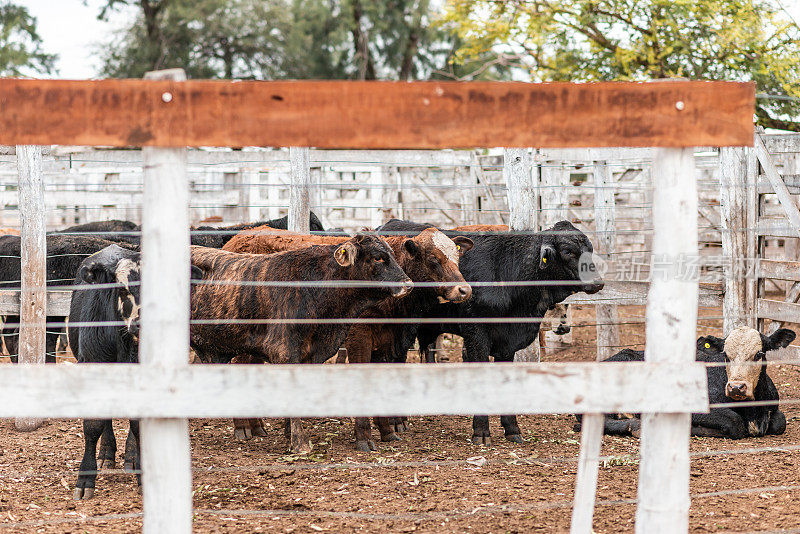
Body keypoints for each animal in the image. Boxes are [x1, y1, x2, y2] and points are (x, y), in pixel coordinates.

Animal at [188, 237, 412, 454]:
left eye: (392, 255)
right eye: (378, 258)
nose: (409, 284)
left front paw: (289, 435)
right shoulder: (284, 351)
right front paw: (300, 443)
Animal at [222, 226, 476, 452]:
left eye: (457, 257)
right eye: (433, 258)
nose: (464, 290)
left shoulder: (386, 342)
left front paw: (387, 431)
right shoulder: (359, 337)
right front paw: (364, 437)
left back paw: (256, 425)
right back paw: (243, 427)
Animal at [378, 220, 604, 446]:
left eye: (589, 249)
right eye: (568, 251)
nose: (598, 282)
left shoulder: (508, 342)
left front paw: (512, 428)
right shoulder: (476, 335)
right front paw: (481, 431)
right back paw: (396, 420)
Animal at [576, 328, 792, 442]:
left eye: (759, 354)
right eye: (725, 355)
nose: (736, 387)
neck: (753, 413)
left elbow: (780, 421)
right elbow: (734, 422)